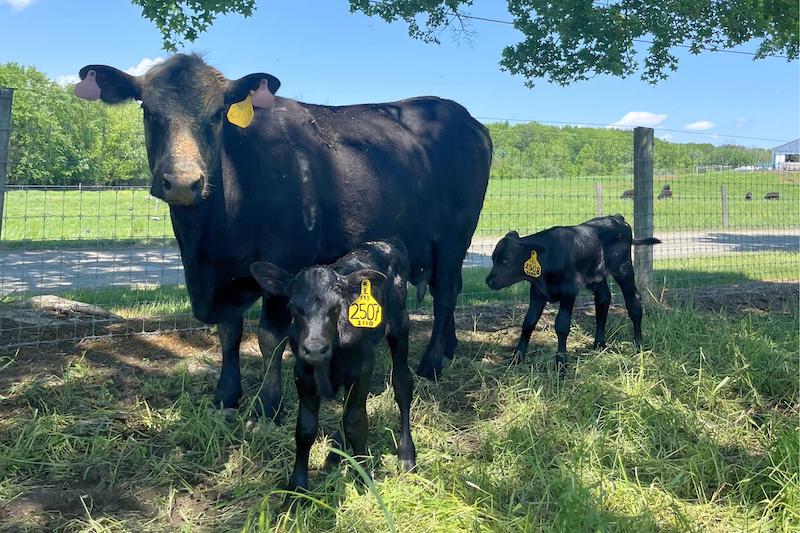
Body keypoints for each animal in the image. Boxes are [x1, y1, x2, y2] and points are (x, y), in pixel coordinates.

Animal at [74, 53, 492, 419]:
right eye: (148, 110)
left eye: (217, 115)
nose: (182, 181)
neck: (209, 247)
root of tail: (469, 120)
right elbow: (229, 332)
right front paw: (226, 394)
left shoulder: (282, 263)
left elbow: (268, 337)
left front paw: (267, 404)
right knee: (447, 290)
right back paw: (449, 349)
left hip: (454, 236)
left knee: (446, 295)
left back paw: (432, 363)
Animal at [250, 240, 415, 493]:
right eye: (293, 307)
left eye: (337, 307)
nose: (315, 349)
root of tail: (385, 243)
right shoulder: (302, 374)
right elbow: (305, 429)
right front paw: (296, 488)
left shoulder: (361, 368)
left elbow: (356, 423)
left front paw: (364, 479)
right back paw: (334, 457)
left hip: (400, 324)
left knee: (402, 383)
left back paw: (406, 456)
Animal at [485, 214, 661, 367]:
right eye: (493, 259)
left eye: (507, 260)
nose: (489, 281)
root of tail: (617, 217)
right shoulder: (537, 292)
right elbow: (528, 322)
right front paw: (517, 357)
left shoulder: (569, 290)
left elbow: (562, 325)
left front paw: (561, 363)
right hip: (597, 275)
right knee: (603, 300)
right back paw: (599, 343)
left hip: (624, 269)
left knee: (634, 303)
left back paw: (638, 345)